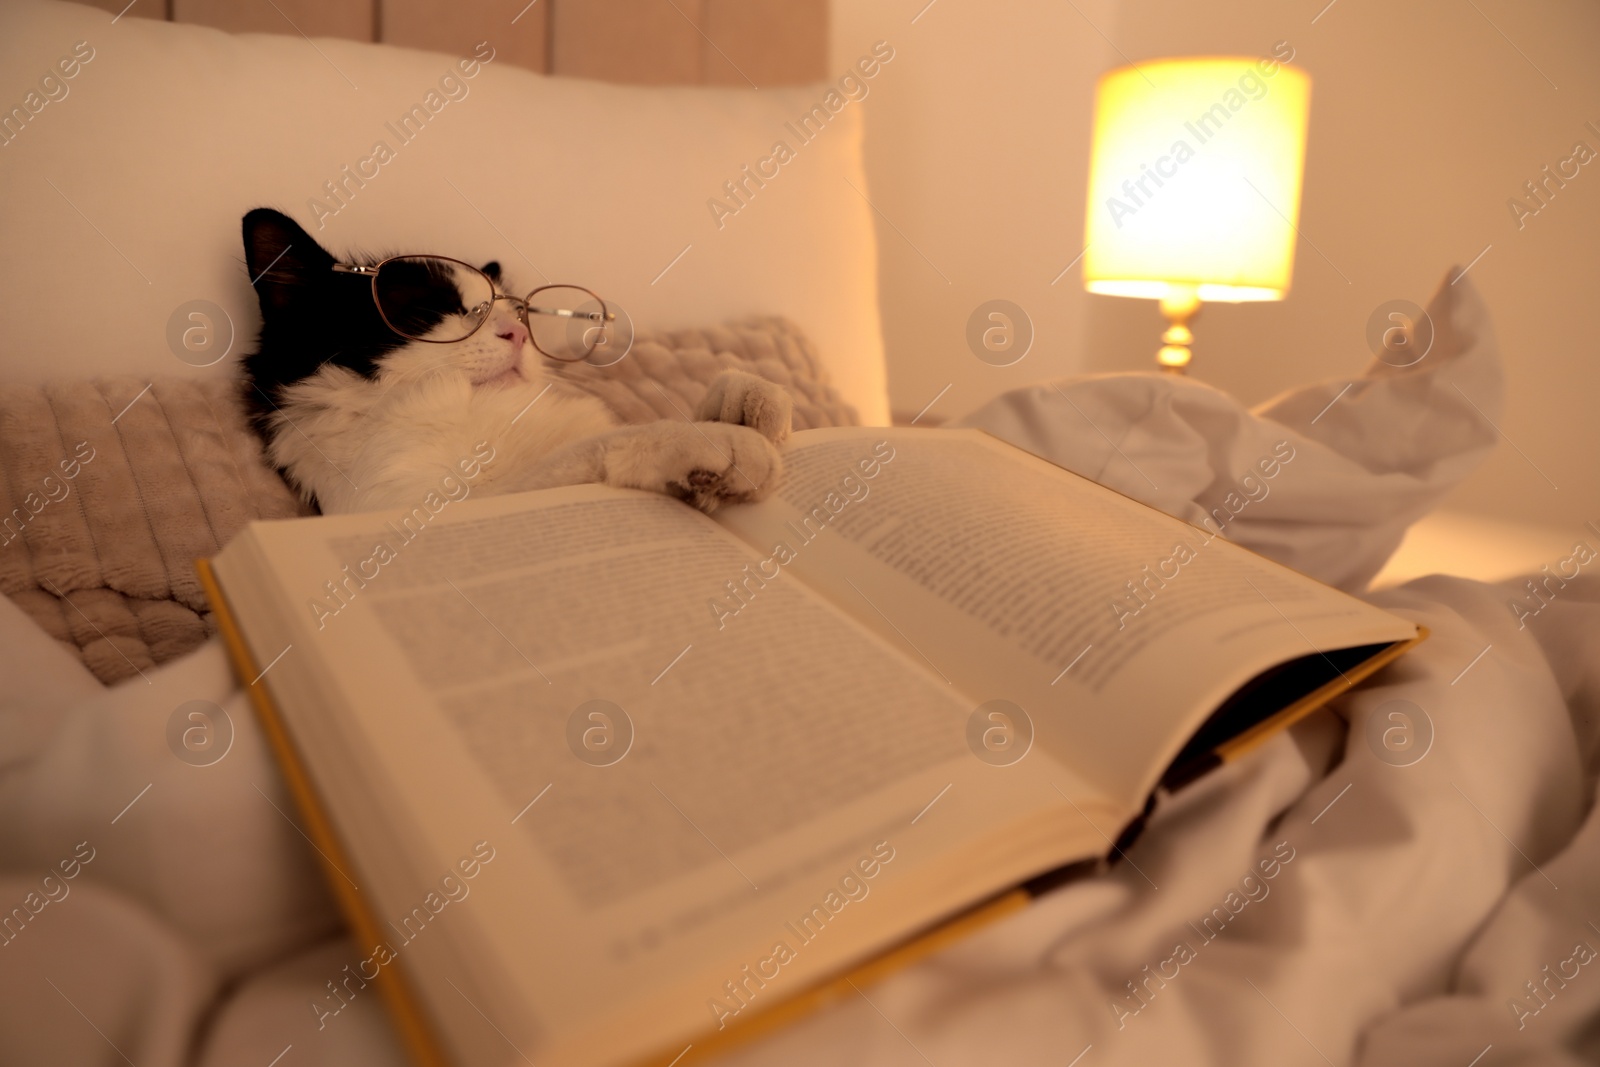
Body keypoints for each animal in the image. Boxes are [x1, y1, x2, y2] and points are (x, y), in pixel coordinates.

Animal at [235, 206, 787, 515]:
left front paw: (750, 404)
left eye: (516, 310)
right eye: (428, 311)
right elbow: (599, 446)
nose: (517, 332)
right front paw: (712, 441)